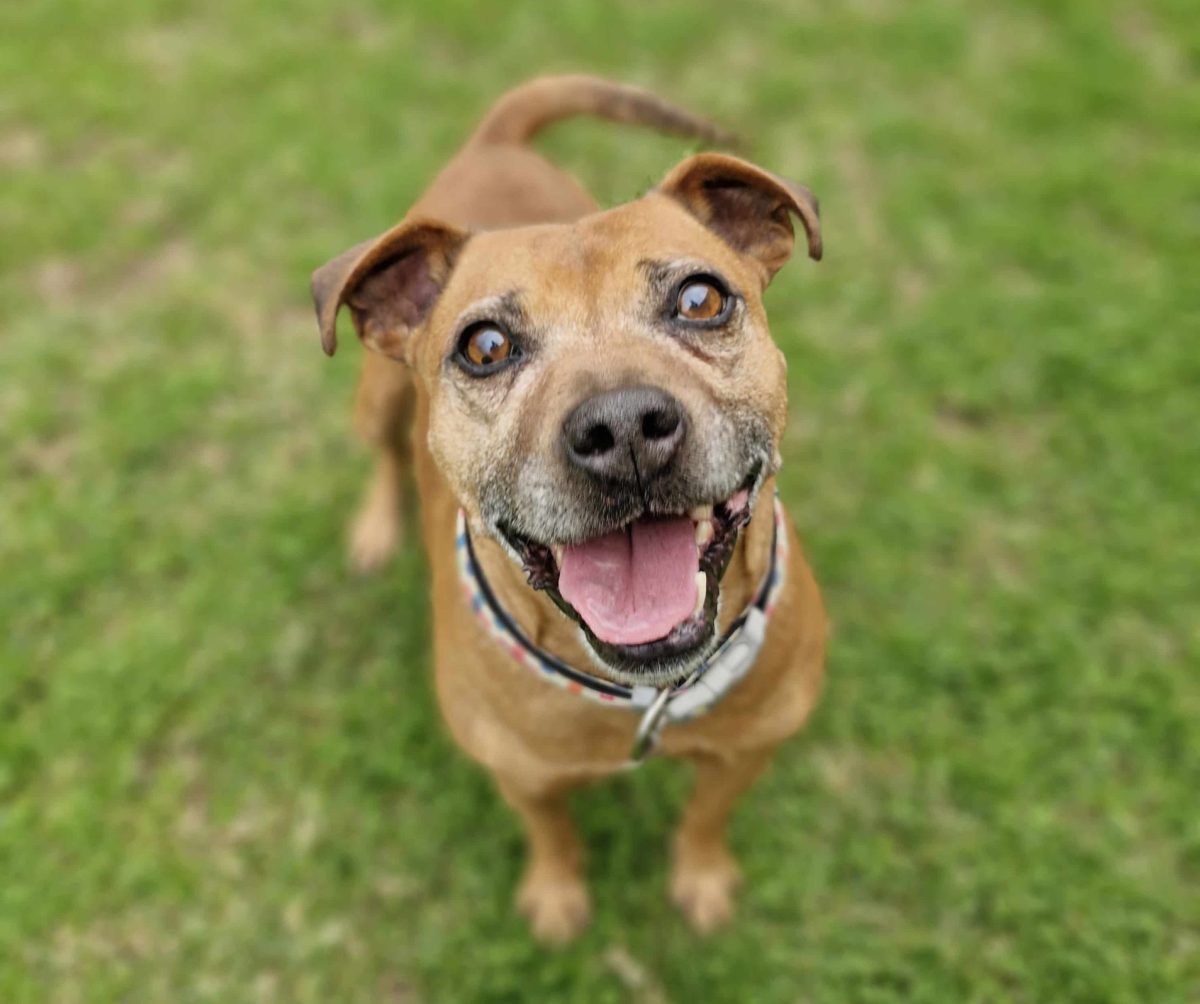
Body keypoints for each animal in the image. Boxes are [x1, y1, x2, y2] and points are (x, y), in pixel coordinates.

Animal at [309, 76, 825, 940]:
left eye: (701, 299)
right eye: (484, 346)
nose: (623, 429)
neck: (645, 693)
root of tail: (496, 141)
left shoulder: (750, 749)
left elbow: (705, 817)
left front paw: (701, 877)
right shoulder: (523, 776)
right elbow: (553, 834)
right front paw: (555, 897)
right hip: (375, 398)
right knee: (382, 456)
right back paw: (377, 530)